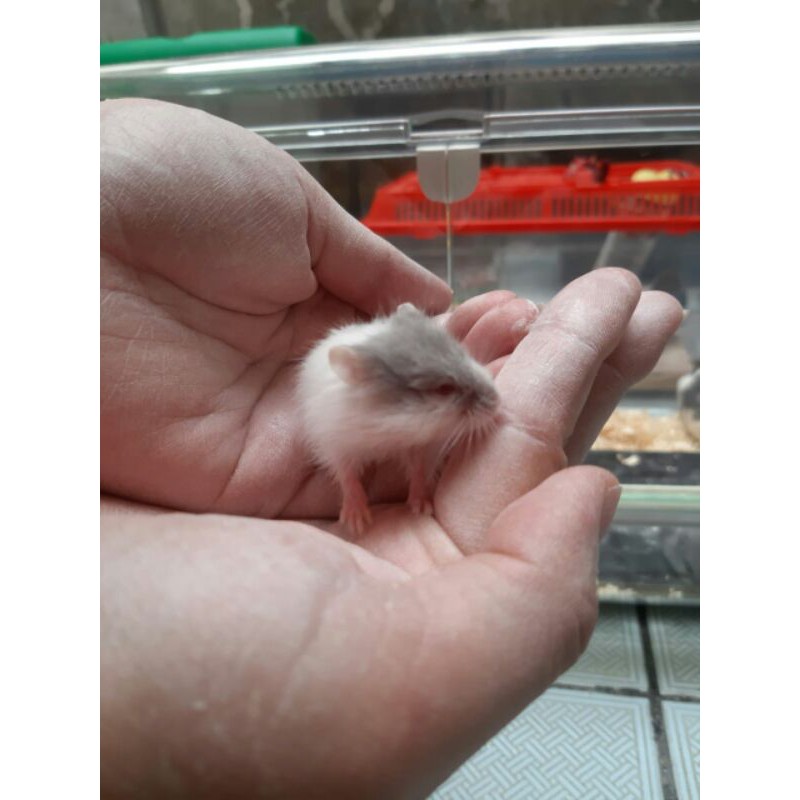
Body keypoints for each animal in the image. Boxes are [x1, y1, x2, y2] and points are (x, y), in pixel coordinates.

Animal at [297, 302, 501, 535]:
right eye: (444, 389)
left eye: (464, 353)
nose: (497, 401)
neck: (390, 425)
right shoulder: (336, 445)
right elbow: (348, 477)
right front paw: (357, 523)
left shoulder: (419, 446)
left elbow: (418, 471)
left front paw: (421, 508)